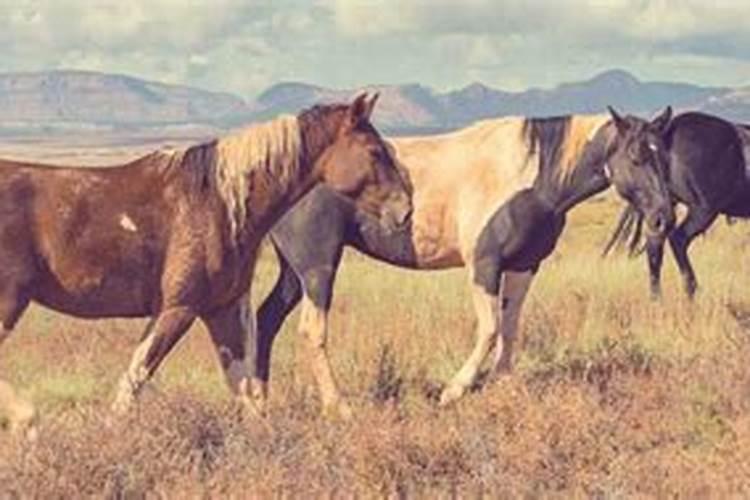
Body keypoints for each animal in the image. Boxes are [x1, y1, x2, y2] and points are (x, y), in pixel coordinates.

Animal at [0, 93, 412, 431]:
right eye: (375, 151)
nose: (405, 210)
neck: (219, 203)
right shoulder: (178, 309)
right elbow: (133, 383)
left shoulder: (222, 309)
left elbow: (246, 397)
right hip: (10, 302)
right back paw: (26, 420)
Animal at [253, 107, 676, 417]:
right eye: (636, 156)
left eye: (664, 157)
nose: (663, 218)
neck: (532, 177)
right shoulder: (484, 266)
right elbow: (489, 329)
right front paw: (453, 391)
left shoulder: (523, 266)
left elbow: (510, 326)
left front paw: (505, 385)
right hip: (317, 267)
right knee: (311, 331)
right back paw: (337, 406)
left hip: (294, 271)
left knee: (267, 318)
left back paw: (257, 403)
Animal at [603, 111, 750, 298]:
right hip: (702, 211)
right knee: (678, 239)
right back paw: (691, 290)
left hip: (665, 209)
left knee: (655, 243)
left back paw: (657, 296)